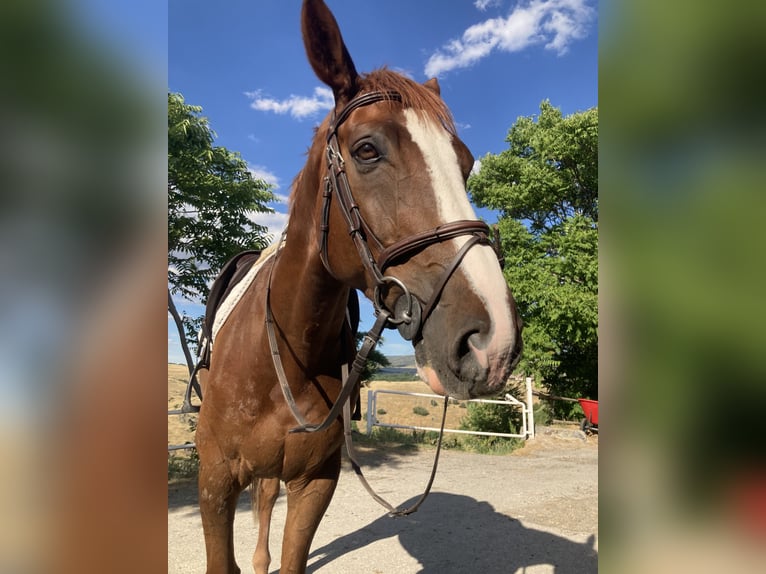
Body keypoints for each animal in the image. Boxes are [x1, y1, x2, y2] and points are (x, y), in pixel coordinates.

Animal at [195, 2, 524, 572]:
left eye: (465, 163)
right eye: (367, 149)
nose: (494, 342)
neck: (280, 355)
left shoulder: (314, 484)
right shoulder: (214, 483)